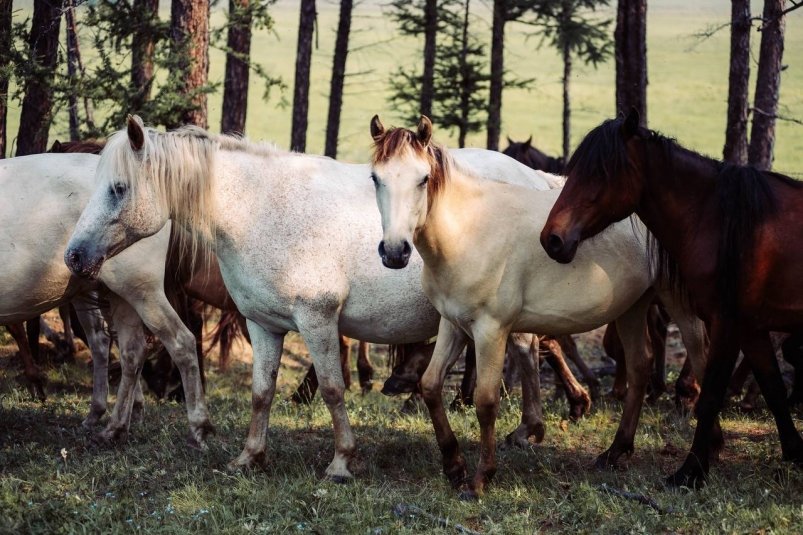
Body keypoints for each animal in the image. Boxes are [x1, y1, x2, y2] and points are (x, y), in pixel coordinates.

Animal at [0, 155, 210, 448]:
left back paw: (196, 430)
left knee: (181, 342)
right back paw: (113, 424)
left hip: (142, 290)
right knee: (125, 349)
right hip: (114, 293)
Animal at [62, 116, 576, 482]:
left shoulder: (317, 320)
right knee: (529, 351)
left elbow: (331, 388)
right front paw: (250, 457)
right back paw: (530, 427)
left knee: (528, 351)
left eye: (119, 188)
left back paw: (532, 427)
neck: (262, 210)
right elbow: (261, 392)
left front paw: (342, 462)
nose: (74, 255)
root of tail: (535, 178)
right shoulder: (263, 325)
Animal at [368, 115, 708, 500]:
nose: (395, 251)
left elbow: (486, 400)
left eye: (423, 179)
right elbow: (429, 385)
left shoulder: (491, 330)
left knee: (700, 358)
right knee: (639, 366)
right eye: (375, 177)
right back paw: (615, 452)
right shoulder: (453, 324)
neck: (471, 230)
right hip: (632, 307)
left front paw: (481, 477)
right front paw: (454, 466)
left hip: (678, 302)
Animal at [540, 110, 803, 490]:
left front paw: (690, 471)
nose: (553, 239)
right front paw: (796, 452)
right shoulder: (751, 327)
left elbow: (711, 395)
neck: (722, 222)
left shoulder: (727, 322)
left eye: (601, 172)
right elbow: (774, 389)